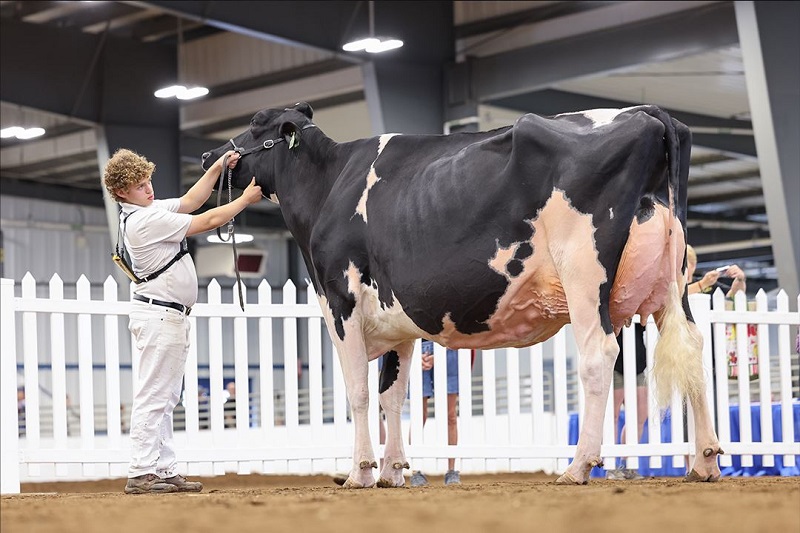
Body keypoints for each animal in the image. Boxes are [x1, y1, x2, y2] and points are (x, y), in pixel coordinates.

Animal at [202, 102, 723, 487]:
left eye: (256, 125)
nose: (209, 159)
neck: (328, 184)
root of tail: (648, 112)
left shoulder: (341, 298)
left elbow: (358, 394)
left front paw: (360, 472)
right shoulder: (397, 321)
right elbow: (393, 395)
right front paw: (393, 471)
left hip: (583, 269)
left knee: (599, 353)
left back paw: (578, 467)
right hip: (673, 280)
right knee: (693, 347)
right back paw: (705, 461)